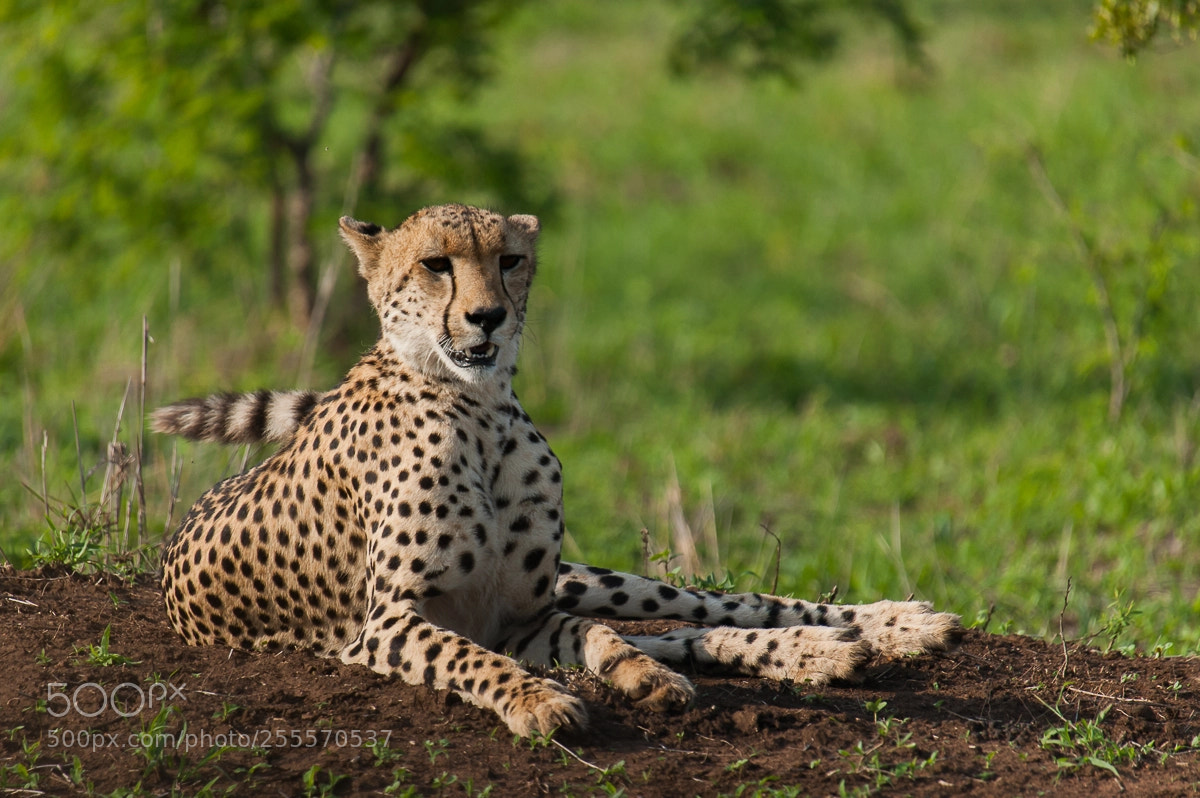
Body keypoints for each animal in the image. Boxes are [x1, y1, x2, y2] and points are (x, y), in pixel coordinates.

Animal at [155, 204, 962, 737]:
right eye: (436, 264)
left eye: (508, 261)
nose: (487, 317)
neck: (479, 409)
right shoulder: (389, 624)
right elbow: (467, 655)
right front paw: (541, 700)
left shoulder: (525, 613)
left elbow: (601, 637)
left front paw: (635, 678)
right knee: (680, 630)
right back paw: (831, 650)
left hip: (592, 576)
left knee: (706, 608)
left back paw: (883, 628)